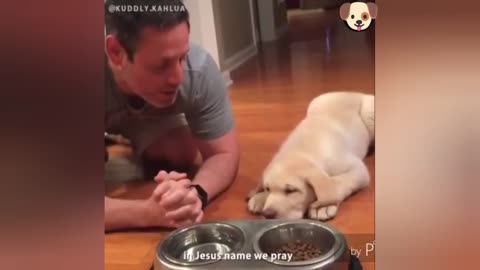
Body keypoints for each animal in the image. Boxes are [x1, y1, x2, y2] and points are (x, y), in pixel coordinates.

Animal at [248, 92, 376, 220]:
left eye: (291, 190)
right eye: (268, 189)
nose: (267, 214)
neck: (301, 150)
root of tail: (351, 92)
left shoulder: (357, 169)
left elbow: (338, 182)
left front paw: (324, 206)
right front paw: (260, 197)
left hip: (369, 112)